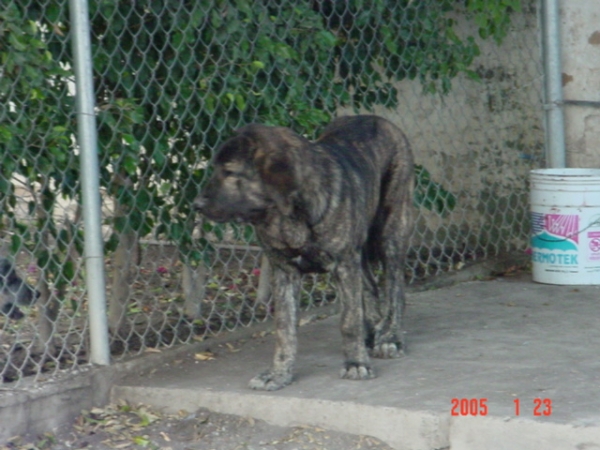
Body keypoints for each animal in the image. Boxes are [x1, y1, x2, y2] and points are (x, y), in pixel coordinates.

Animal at [195, 116, 414, 390]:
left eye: (230, 172)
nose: (196, 204)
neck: (288, 215)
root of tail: (376, 119)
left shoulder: (343, 264)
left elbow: (349, 320)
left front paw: (355, 362)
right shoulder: (285, 272)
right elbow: (284, 329)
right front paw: (279, 373)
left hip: (391, 229)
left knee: (395, 286)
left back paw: (390, 336)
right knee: (370, 286)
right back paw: (372, 332)